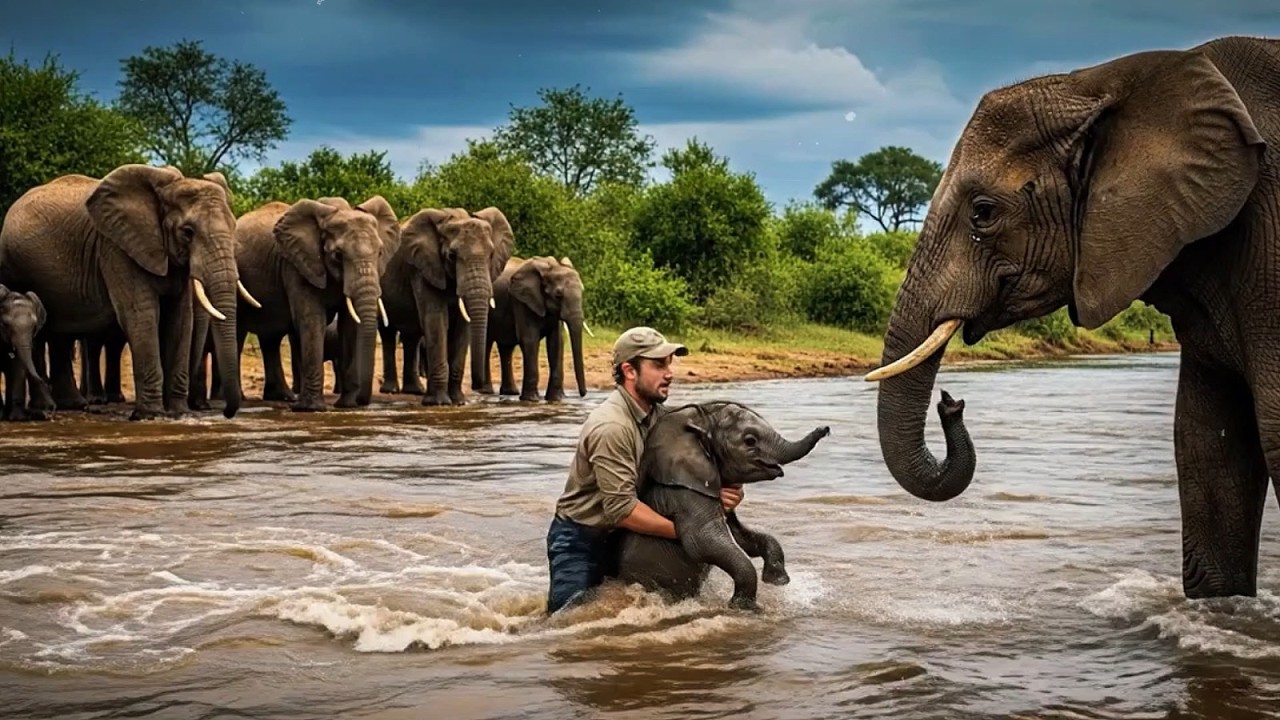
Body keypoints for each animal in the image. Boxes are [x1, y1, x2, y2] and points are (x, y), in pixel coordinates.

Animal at [230, 195, 397, 412]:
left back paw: (282, 397)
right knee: (240, 333)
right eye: (337, 255)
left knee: (271, 339)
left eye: (380, 253)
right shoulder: (296, 265)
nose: (361, 401)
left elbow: (349, 325)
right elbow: (311, 319)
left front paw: (346, 406)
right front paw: (311, 409)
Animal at [379, 206, 515, 405]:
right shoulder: (423, 269)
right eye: (451, 256)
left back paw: (415, 391)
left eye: (491, 255)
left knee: (411, 336)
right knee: (387, 332)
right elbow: (436, 320)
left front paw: (458, 401)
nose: (478, 387)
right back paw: (391, 391)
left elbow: (462, 328)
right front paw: (439, 403)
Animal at [480, 255, 595, 402]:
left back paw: (510, 393)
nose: (583, 394)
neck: (550, 267)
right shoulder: (522, 301)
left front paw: (555, 399)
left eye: (582, 291)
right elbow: (530, 340)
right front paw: (531, 400)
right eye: (558, 295)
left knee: (506, 347)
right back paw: (486, 391)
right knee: (486, 343)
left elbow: (556, 343)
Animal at [606, 401, 831, 611]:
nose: (825, 428)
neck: (697, 421)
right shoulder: (684, 493)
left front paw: (778, 582)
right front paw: (746, 608)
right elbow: (703, 541)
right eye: (750, 440)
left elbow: (740, 537)